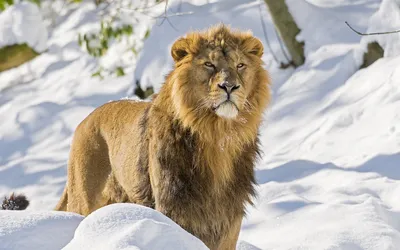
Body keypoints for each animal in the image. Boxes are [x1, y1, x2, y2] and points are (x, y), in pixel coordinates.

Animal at [4, 25, 270, 250]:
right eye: (209, 64)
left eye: (240, 65)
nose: (230, 86)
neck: (217, 136)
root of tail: (85, 120)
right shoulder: (173, 207)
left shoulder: (228, 217)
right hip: (84, 197)